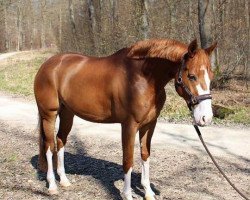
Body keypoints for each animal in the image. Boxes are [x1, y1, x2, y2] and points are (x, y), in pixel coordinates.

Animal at [33, 38, 217, 199]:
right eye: (192, 76)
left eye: (211, 76)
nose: (206, 118)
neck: (143, 77)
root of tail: (47, 65)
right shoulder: (129, 125)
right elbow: (128, 159)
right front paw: (127, 194)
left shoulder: (149, 125)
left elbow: (145, 155)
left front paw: (148, 193)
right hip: (49, 114)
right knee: (49, 146)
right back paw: (52, 186)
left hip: (67, 114)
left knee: (60, 140)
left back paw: (64, 180)